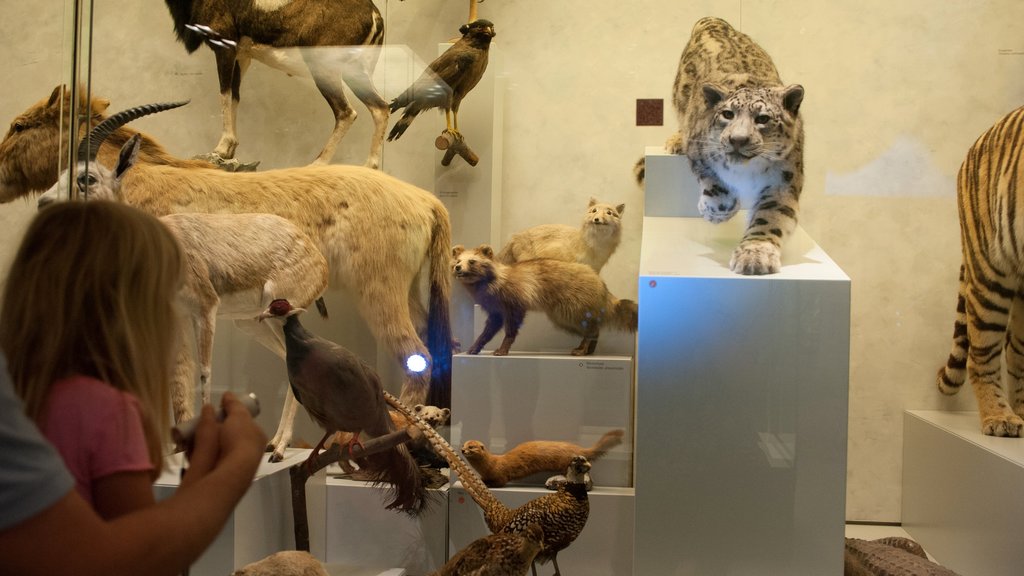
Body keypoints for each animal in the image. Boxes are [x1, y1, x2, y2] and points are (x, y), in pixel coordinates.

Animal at [452, 242, 634, 354]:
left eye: (472, 261)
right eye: (457, 260)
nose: (458, 268)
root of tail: (601, 284)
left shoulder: (514, 302)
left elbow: (511, 328)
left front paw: (503, 348)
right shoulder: (494, 309)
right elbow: (489, 329)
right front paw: (476, 346)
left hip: (572, 309)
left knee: (592, 328)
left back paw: (584, 347)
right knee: (594, 328)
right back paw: (589, 348)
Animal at [464, 426, 622, 483]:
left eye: (471, 447)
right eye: (463, 445)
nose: (462, 450)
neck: (489, 465)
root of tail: (579, 448)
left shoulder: (500, 475)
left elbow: (499, 482)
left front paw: (486, 483)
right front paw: (482, 479)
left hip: (566, 461)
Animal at [634, 17, 802, 276]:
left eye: (763, 118)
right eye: (727, 114)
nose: (738, 140)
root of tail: (714, 21)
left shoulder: (783, 181)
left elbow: (769, 217)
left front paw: (755, 255)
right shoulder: (699, 150)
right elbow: (716, 187)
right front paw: (712, 212)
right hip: (680, 94)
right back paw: (675, 142)